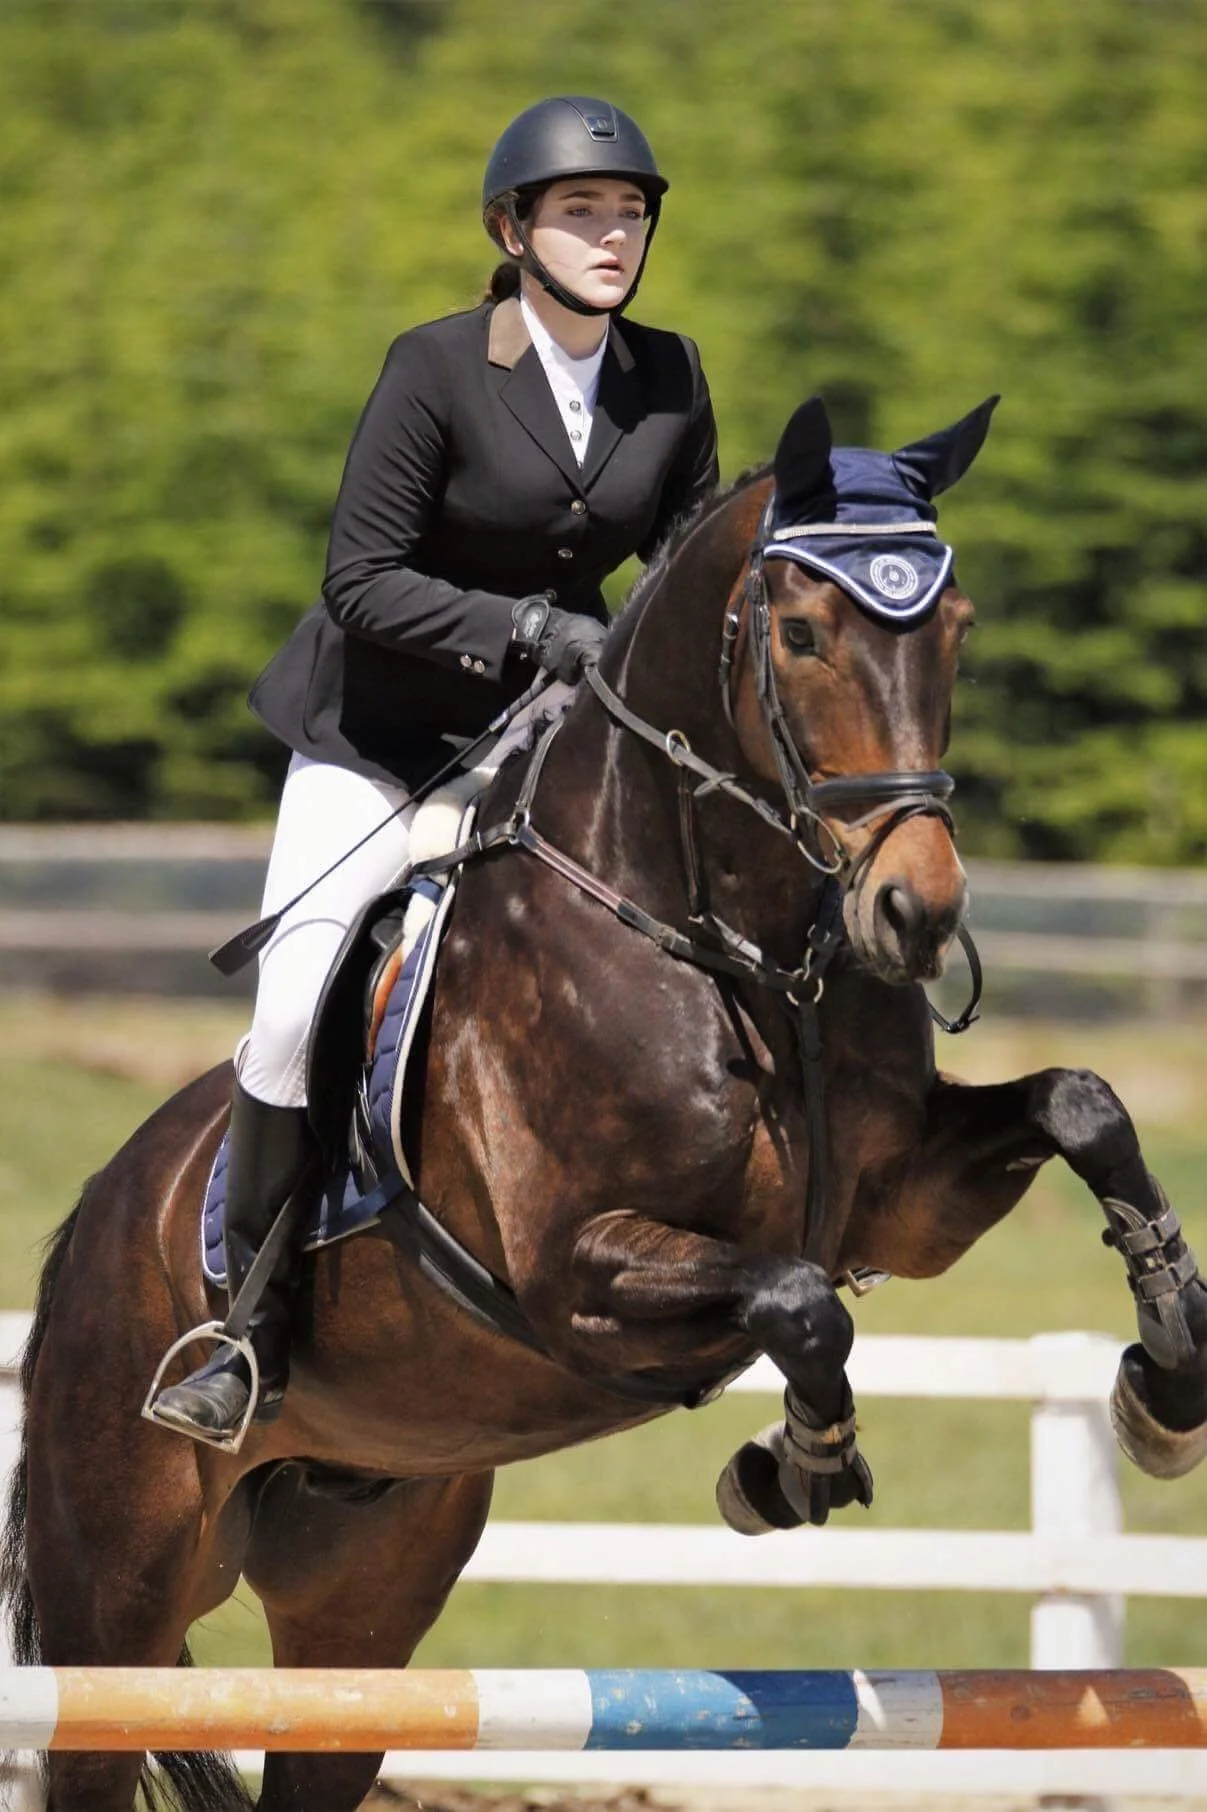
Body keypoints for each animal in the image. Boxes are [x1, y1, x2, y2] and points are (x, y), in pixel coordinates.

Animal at [6, 393, 1207, 1812]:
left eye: (955, 628)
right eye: (801, 634)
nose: (913, 912)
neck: (730, 947)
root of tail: (95, 1217)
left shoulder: (902, 1207)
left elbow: (1084, 1109)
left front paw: (1167, 1380)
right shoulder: (573, 1275)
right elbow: (798, 1301)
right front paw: (789, 1467)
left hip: (358, 1590)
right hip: (119, 1588)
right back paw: (218, 1370)